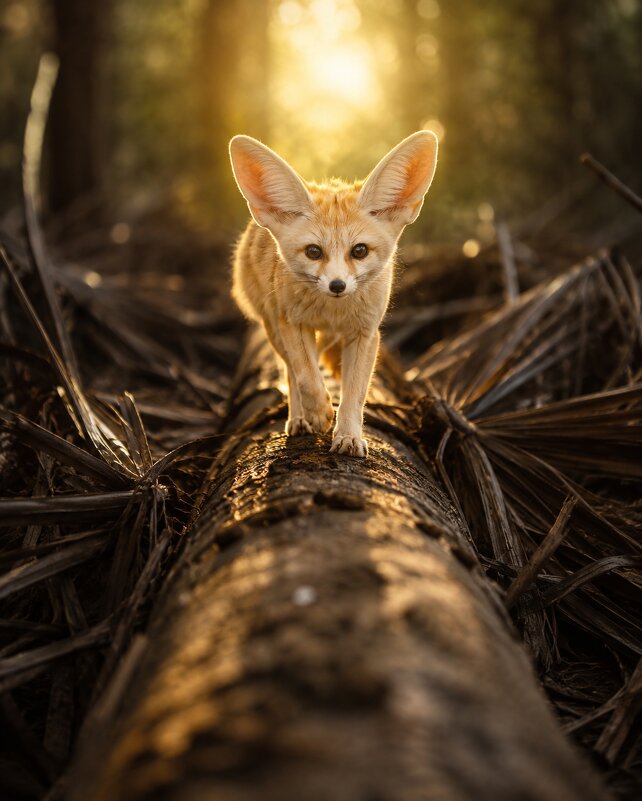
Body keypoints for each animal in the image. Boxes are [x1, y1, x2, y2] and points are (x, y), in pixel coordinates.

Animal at [229, 130, 438, 457]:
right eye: (314, 252)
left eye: (359, 251)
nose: (337, 286)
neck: (332, 313)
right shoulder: (293, 324)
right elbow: (306, 377)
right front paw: (318, 413)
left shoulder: (365, 334)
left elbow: (354, 395)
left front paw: (348, 436)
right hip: (274, 329)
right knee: (290, 372)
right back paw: (299, 418)